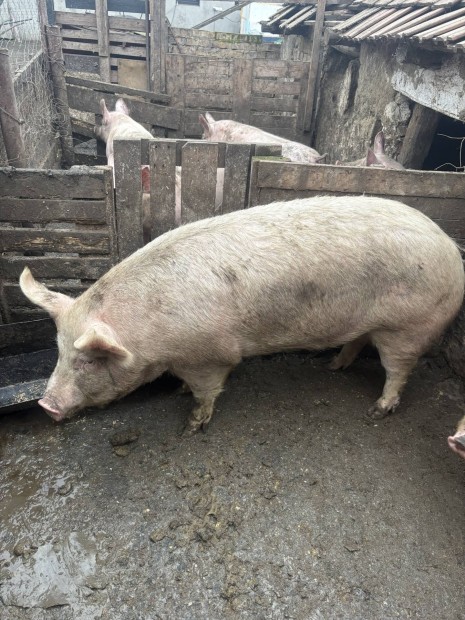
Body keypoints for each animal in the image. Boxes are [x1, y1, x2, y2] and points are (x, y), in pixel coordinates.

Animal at [20, 196, 464, 436]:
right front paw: (178, 393)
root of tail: (451, 248)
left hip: (408, 327)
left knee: (397, 371)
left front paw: (190, 427)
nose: (45, 405)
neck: (150, 333)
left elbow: (207, 392)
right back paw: (333, 367)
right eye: (59, 352)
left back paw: (377, 411)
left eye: (89, 360)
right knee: (356, 341)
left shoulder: (210, 355)